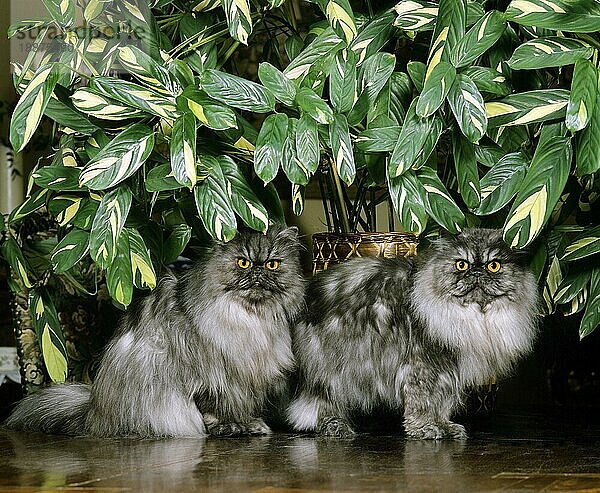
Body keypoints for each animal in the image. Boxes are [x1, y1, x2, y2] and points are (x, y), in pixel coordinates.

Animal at [4, 225, 304, 436]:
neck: (251, 320)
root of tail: (92, 411)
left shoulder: (247, 381)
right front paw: (232, 428)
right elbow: (214, 412)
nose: (258, 271)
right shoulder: (211, 379)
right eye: (243, 262)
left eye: (273, 264)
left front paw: (249, 424)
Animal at [286, 228, 540, 438]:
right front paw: (425, 428)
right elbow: (423, 404)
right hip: (330, 372)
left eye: (493, 266)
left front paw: (445, 426)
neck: (472, 317)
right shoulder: (422, 367)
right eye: (461, 265)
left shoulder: (447, 372)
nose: (476, 271)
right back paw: (335, 427)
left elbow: (442, 404)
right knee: (317, 405)